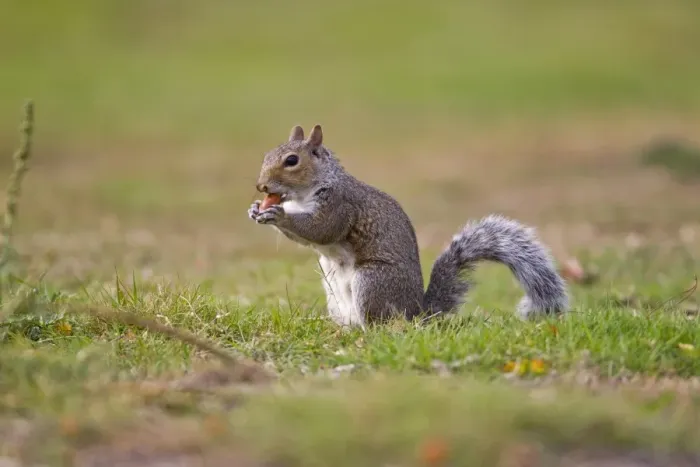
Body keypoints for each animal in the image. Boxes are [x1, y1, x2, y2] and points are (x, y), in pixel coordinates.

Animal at [248, 124, 569, 328]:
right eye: (266, 155)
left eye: (292, 160)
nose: (261, 186)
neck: (305, 194)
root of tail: (417, 313)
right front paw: (256, 210)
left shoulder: (341, 205)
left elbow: (321, 229)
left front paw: (279, 215)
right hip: (333, 293)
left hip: (373, 282)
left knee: (382, 325)